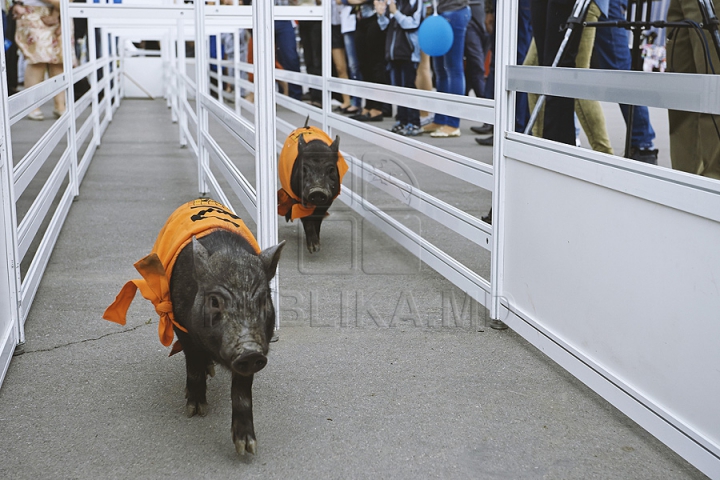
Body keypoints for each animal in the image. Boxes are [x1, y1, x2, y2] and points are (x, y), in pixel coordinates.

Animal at [278, 124, 348, 253]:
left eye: (331, 169)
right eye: (304, 168)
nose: (317, 191)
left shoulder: (328, 200)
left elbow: (318, 218)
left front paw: (317, 246)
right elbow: (307, 219)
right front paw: (313, 249)